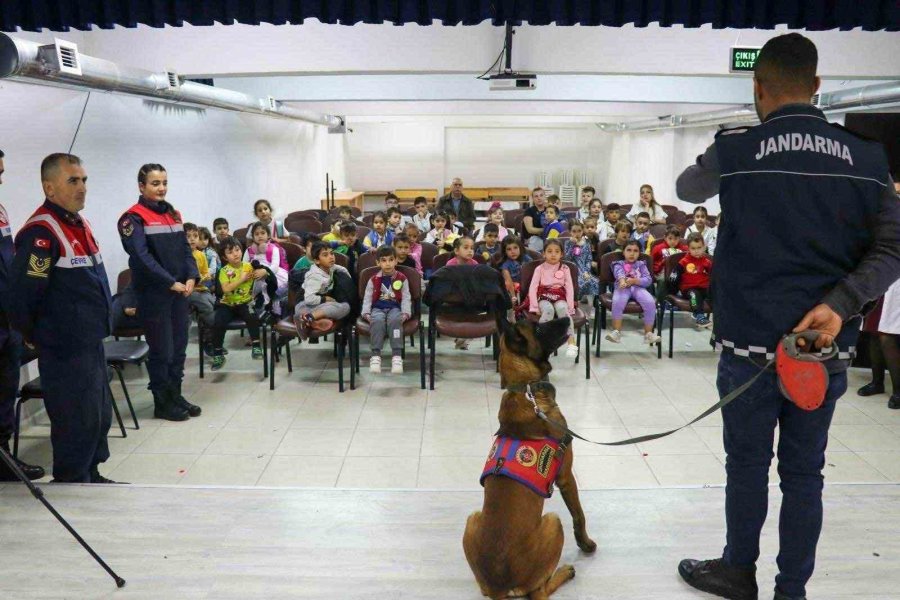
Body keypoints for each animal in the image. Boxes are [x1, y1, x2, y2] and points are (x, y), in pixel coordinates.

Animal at [464, 316, 596, 596]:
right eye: (537, 327)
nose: (568, 317)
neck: (526, 389)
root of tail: (501, 587)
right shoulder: (566, 477)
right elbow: (579, 515)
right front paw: (586, 544)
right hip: (554, 522)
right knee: (541, 591)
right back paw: (565, 571)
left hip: (472, 519)